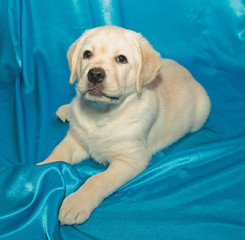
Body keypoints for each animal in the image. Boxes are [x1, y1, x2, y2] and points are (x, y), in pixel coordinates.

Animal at [37, 26, 211, 225]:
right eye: (87, 54)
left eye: (121, 59)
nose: (95, 74)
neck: (100, 114)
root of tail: (189, 73)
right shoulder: (75, 139)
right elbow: (58, 154)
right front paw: (39, 170)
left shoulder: (130, 160)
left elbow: (98, 180)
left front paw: (76, 202)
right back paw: (66, 110)